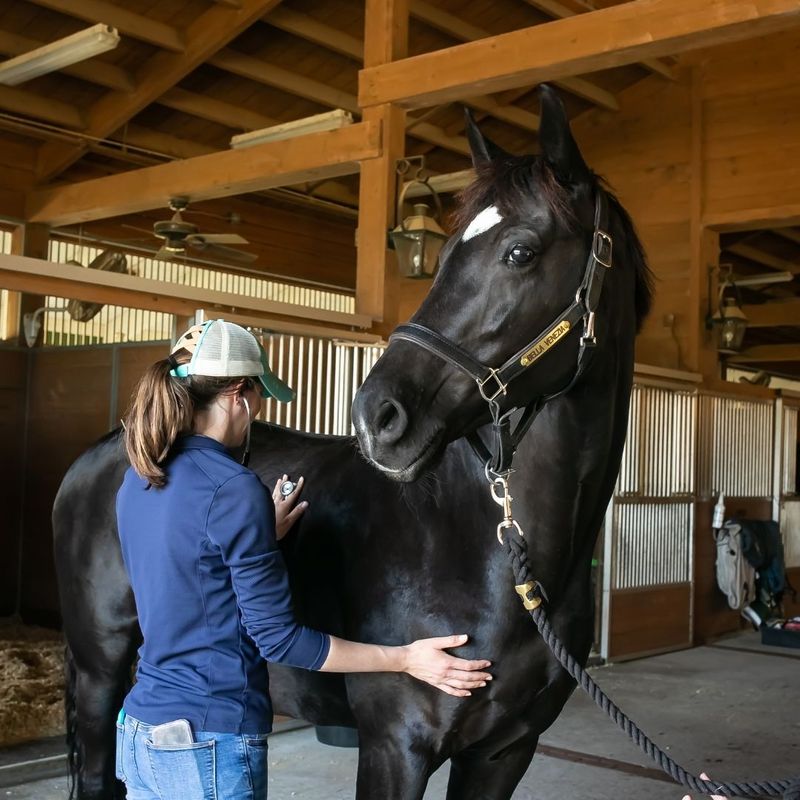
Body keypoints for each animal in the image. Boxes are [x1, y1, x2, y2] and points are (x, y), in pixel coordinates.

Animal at [52, 84, 652, 800]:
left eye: (520, 252)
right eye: (443, 258)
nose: (377, 417)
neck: (489, 557)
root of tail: (98, 456)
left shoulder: (505, 753)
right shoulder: (395, 746)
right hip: (100, 674)